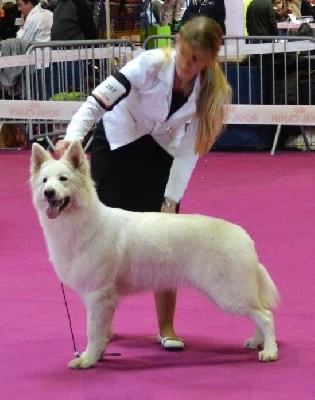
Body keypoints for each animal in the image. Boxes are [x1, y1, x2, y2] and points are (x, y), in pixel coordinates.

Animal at [30, 141, 280, 368]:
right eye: (45, 181)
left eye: (63, 179)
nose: (48, 192)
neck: (83, 224)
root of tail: (244, 237)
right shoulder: (100, 299)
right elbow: (102, 333)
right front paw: (97, 355)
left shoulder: (99, 296)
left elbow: (93, 332)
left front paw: (87, 360)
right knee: (260, 314)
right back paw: (256, 342)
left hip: (229, 295)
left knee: (266, 316)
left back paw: (269, 351)